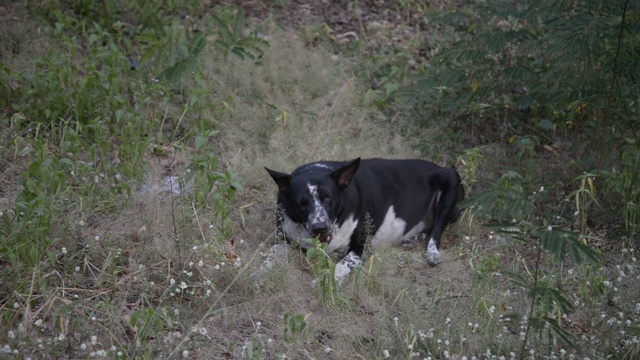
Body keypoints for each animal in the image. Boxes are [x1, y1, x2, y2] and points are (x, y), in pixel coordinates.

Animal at [258, 158, 462, 284]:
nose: (320, 227)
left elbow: (342, 265)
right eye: (302, 203)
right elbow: (272, 254)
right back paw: (411, 240)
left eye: (327, 197)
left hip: (451, 178)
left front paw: (325, 281)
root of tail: (438, 166)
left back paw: (432, 253)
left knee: (437, 229)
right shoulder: (285, 239)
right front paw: (259, 273)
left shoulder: (361, 247)